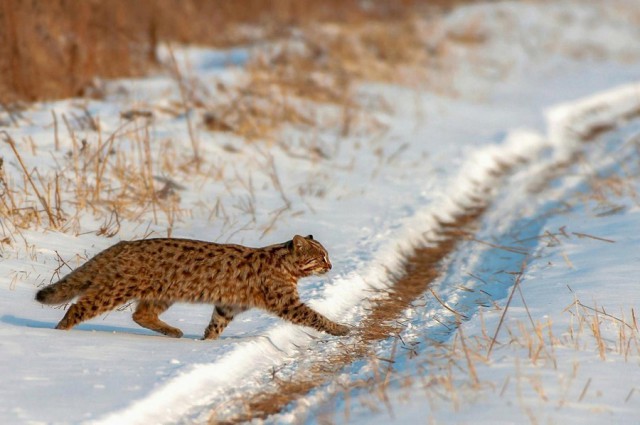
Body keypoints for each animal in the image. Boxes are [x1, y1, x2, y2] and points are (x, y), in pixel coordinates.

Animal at [36, 234, 350, 340]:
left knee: (141, 314)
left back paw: (173, 332)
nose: (331, 266)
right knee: (78, 306)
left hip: (161, 294)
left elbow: (216, 325)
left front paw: (206, 344)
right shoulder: (286, 302)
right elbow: (315, 316)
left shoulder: (228, 305)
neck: (285, 264)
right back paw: (58, 334)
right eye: (320, 257)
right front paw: (340, 328)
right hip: (118, 289)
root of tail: (124, 243)